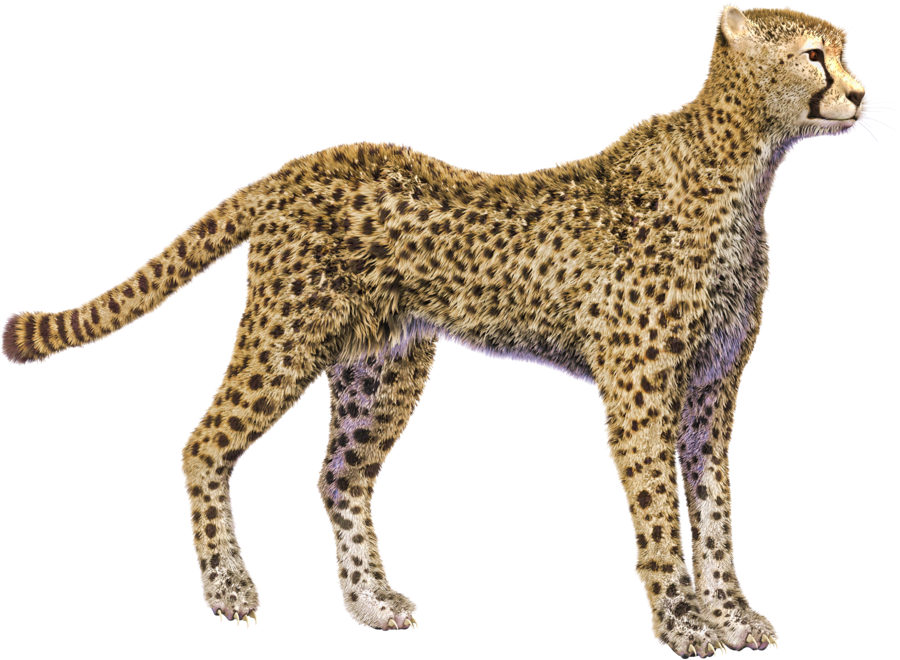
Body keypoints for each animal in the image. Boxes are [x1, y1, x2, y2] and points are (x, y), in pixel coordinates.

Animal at [1, 3, 894, 657]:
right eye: (814, 56)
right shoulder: (639, 392)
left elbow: (714, 508)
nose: (860, 94)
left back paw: (369, 601)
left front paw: (734, 614)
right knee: (204, 445)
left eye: (845, 52)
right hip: (286, 336)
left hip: (383, 369)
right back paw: (230, 591)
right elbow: (658, 516)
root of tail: (299, 164)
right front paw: (683, 624)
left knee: (340, 476)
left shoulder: (713, 391)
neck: (752, 162)